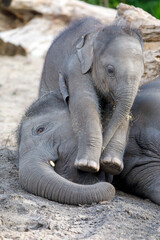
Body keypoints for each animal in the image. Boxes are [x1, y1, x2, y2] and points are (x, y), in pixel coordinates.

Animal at [38, 16, 144, 174]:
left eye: (142, 73)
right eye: (110, 70)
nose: (101, 152)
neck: (96, 34)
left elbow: (120, 109)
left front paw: (112, 164)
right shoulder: (75, 66)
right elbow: (84, 102)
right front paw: (87, 165)